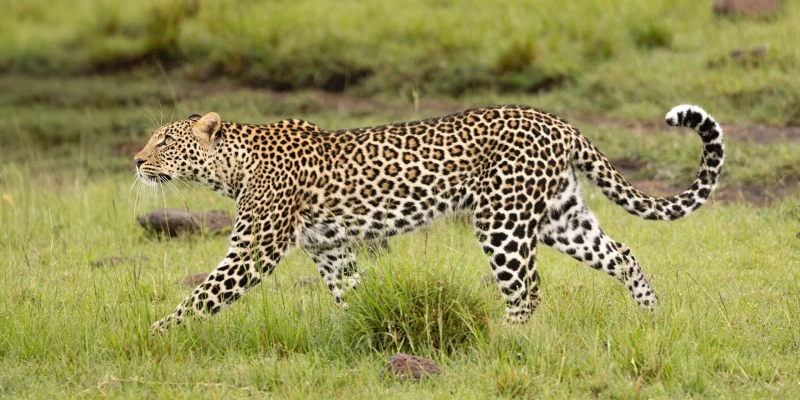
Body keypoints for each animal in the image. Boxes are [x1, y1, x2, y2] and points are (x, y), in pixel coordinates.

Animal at [134, 104, 724, 334]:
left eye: (163, 140)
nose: (136, 161)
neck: (232, 166)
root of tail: (556, 120)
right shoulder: (331, 249)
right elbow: (352, 294)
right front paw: (360, 334)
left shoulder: (253, 251)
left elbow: (201, 297)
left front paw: (155, 336)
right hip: (560, 217)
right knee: (621, 253)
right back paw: (651, 316)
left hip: (502, 221)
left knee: (527, 289)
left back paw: (503, 339)